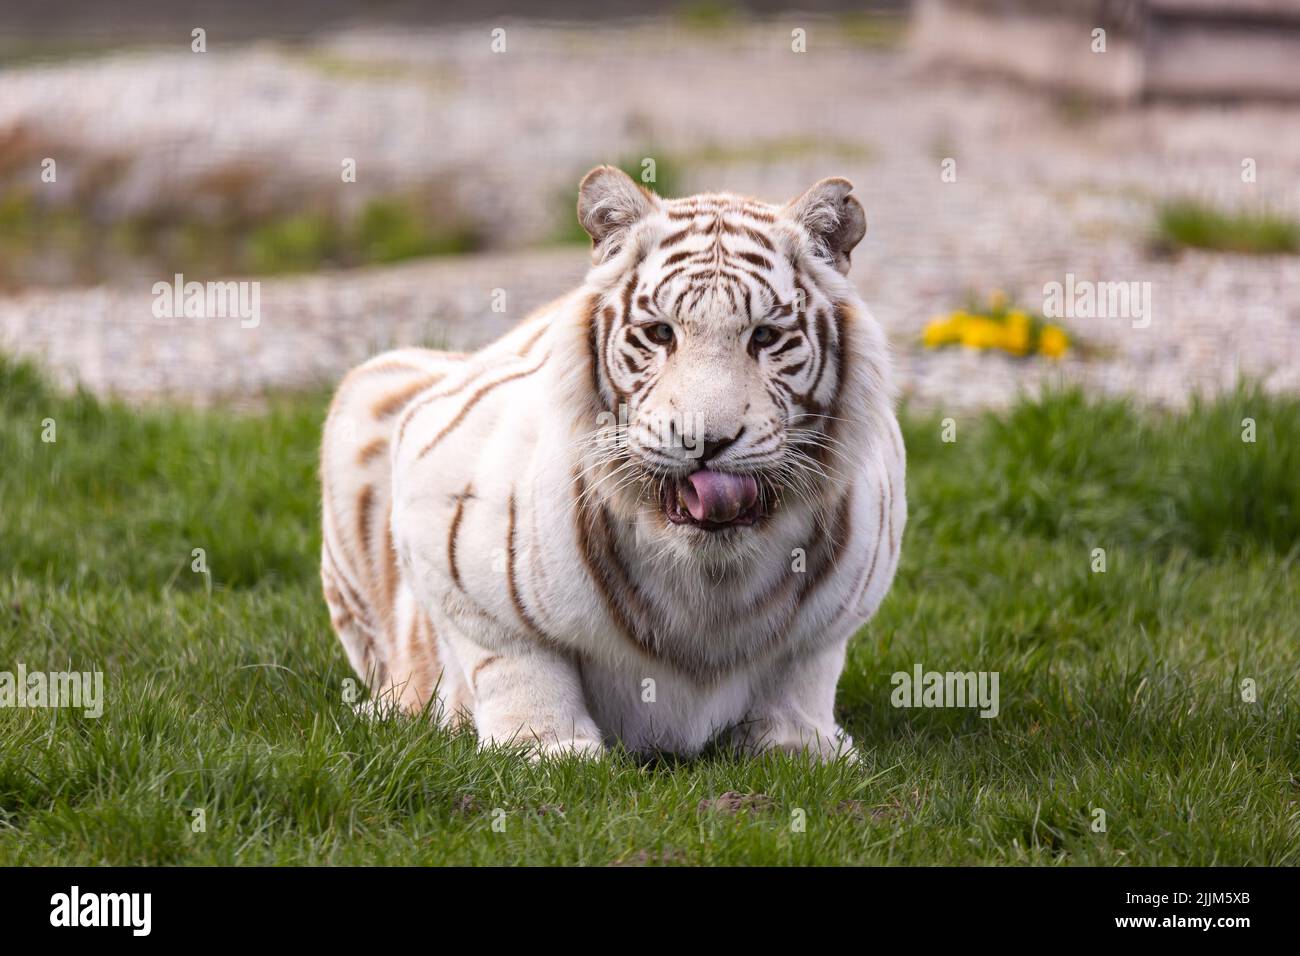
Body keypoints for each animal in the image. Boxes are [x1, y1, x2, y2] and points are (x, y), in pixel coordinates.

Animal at [318, 166, 904, 764]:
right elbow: (517, 659)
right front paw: (546, 748)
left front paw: (801, 744)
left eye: (765, 336)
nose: (707, 441)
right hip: (371, 383)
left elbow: (801, 673)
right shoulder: (444, 522)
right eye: (661, 332)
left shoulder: (836, 616)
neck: (710, 578)